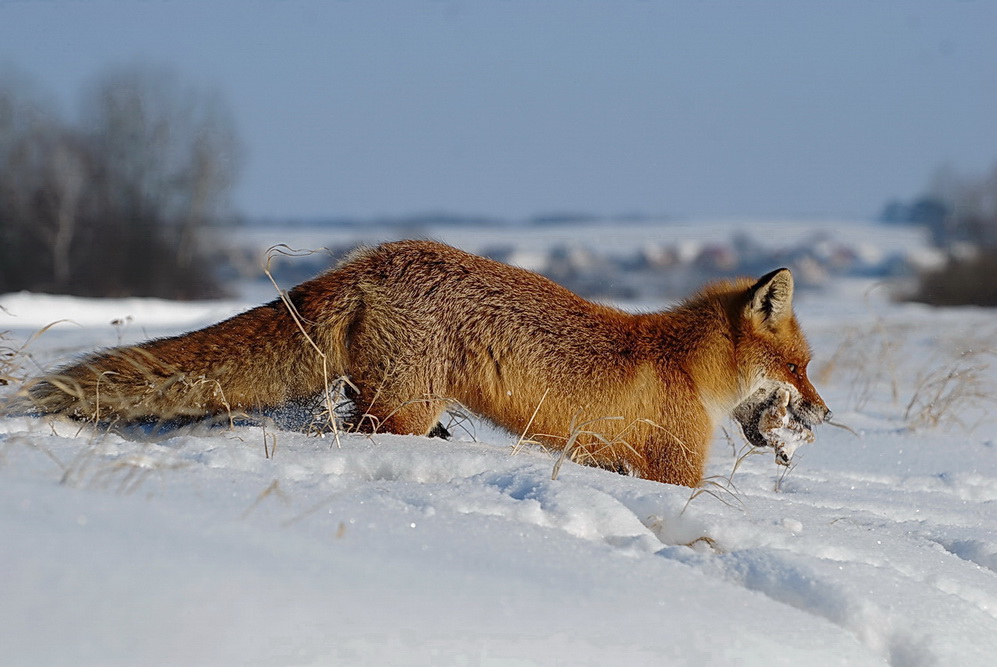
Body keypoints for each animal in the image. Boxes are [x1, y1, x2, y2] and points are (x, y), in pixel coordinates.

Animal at [29, 240, 824, 486]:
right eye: (801, 368)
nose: (825, 413)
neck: (684, 366)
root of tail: (374, 257)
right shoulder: (671, 470)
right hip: (404, 410)